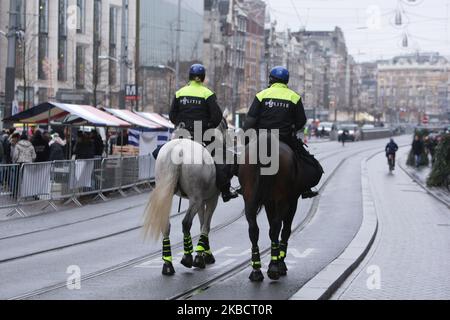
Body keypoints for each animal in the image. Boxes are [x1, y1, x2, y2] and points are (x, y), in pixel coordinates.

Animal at [142, 120, 229, 276]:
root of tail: (178, 150)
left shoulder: (202, 201)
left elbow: (202, 224)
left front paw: (204, 253)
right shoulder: (211, 199)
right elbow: (205, 225)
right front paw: (203, 256)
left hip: (168, 194)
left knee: (166, 224)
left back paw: (168, 264)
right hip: (195, 199)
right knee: (186, 223)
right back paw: (187, 258)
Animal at [237, 134, 322, 282]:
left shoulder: (269, 203)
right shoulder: (292, 201)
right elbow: (286, 229)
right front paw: (280, 262)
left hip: (249, 201)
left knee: (254, 229)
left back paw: (256, 270)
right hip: (283, 201)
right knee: (276, 228)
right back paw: (274, 267)